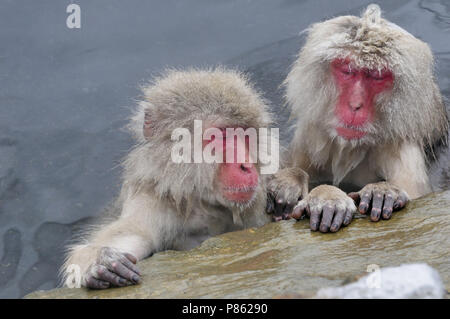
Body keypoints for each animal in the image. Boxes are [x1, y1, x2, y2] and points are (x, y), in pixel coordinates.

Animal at [62, 69, 276, 288]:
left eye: (245, 135)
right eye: (221, 136)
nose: (246, 166)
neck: (203, 204)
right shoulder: (151, 201)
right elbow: (132, 231)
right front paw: (97, 259)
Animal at [268, 4, 446, 232]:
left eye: (376, 76)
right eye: (348, 70)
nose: (355, 105)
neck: (351, 150)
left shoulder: (402, 151)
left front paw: (382, 193)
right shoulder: (311, 135)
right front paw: (306, 187)